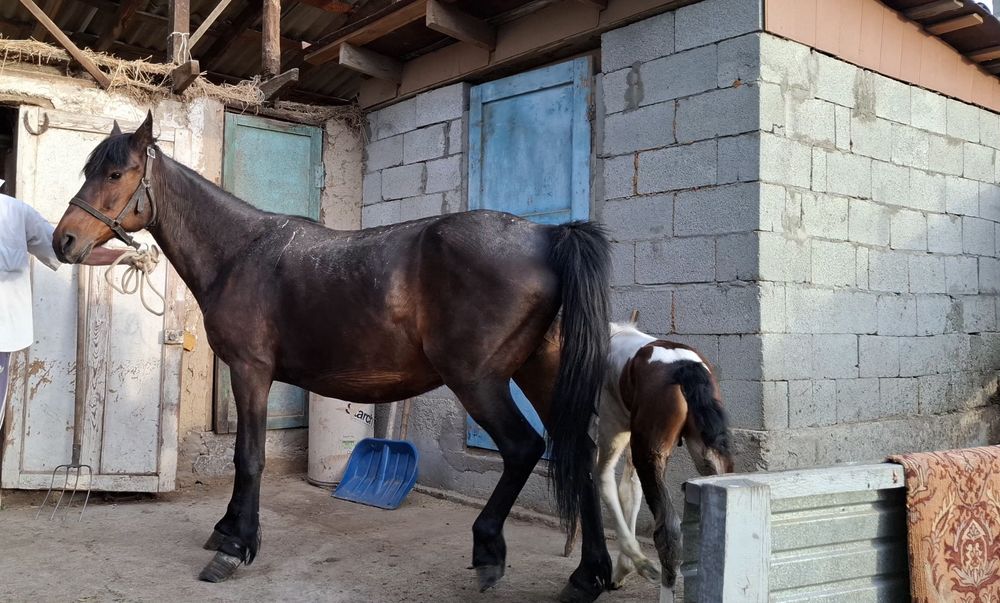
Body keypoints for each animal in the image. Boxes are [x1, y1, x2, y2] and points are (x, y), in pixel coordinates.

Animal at [51, 112, 613, 602]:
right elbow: (244, 458)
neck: (240, 253)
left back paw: (489, 550)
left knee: (523, 448)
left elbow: (248, 457)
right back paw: (588, 577)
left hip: (478, 380)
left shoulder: (251, 372)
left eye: (115, 173)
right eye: (87, 171)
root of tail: (547, 235)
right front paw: (226, 530)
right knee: (582, 453)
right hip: (539, 373)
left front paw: (234, 546)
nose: (64, 241)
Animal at [566, 321, 733, 602]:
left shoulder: (613, 432)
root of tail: (684, 368)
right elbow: (630, 492)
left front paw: (635, 565)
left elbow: (605, 481)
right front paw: (624, 569)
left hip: (650, 454)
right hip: (707, 455)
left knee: (667, 530)